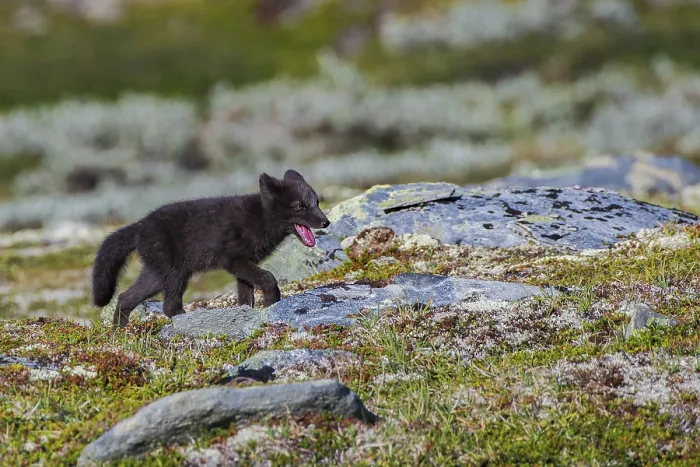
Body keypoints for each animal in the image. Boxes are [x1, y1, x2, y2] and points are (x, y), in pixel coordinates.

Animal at [91, 169, 330, 328]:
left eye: (317, 202)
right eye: (299, 206)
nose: (326, 222)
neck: (260, 219)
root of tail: (139, 225)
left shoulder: (243, 265)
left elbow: (246, 296)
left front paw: (248, 314)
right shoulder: (233, 260)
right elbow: (268, 277)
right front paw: (272, 301)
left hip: (156, 275)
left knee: (125, 297)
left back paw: (119, 332)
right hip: (174, 274)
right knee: (169, 307)